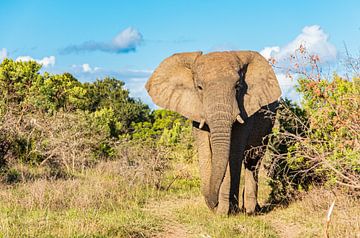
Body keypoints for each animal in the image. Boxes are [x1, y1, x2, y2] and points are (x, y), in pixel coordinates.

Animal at [146, 51, 282, 215]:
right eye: (199, 87)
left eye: (238, 86)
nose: (214, 204)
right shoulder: (196, 109)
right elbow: (205, 148)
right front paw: (223, 210)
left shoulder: (246, 110)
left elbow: (233, 153)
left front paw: (226, 212)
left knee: (253, 160)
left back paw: (250, 211)